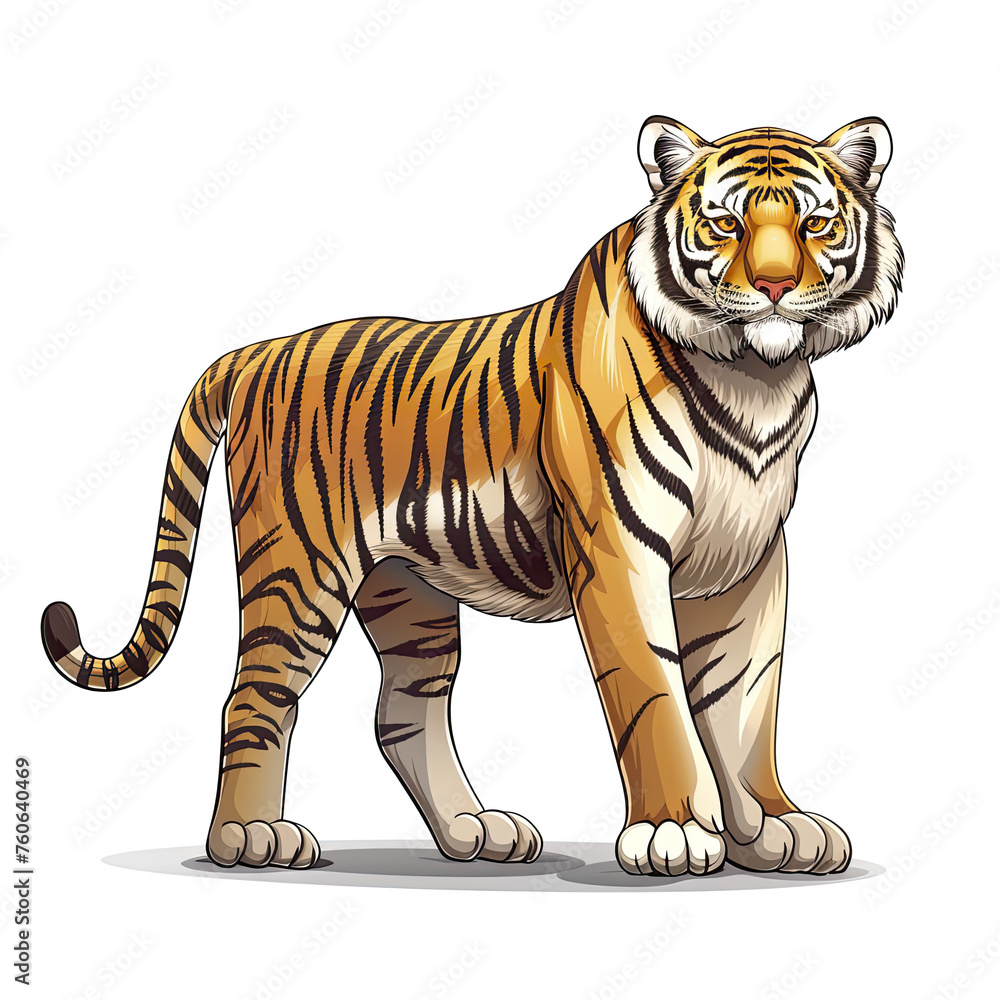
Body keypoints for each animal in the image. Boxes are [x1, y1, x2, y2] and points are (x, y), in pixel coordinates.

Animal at [41, 115, 903, 878]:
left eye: (817, 223)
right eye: (724, 223)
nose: (775, 286)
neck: (756, 377)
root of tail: (254, 352)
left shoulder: (747, 559)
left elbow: (745, 701)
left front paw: (773, 829)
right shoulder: (619, 548)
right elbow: (655, 692)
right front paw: (677, 833)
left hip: (408, 592)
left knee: (402, 714)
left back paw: (473, 830)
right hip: (297, 571)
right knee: (251, 699)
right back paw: (251, 837)